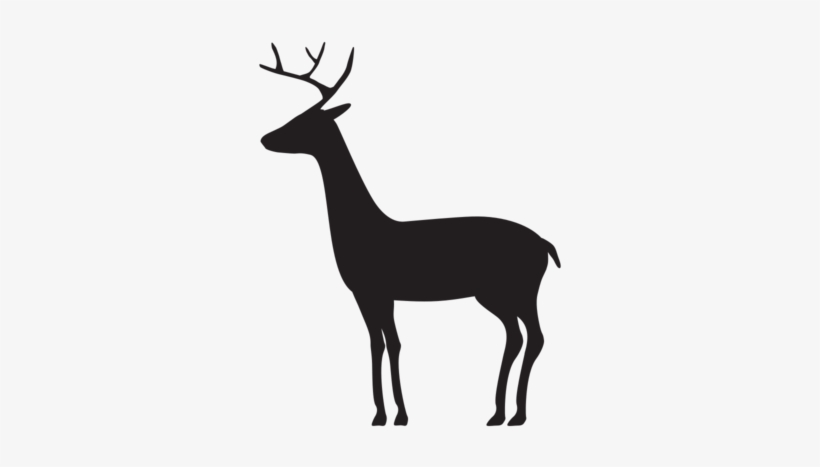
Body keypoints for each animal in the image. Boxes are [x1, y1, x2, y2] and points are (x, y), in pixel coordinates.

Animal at [259, 43, 560, 426]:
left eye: (303, 121)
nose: (265, 138)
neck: (362, 230)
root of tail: (545, 245)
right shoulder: (370, 293)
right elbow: (380, 343)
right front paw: (383, 414)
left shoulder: (374, 289)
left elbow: (391, 343)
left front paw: (397, 414)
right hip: (496, 293)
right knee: (517, 336)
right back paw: (498, 413)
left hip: (518, 287)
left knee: (534, 336)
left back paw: (517, 414)